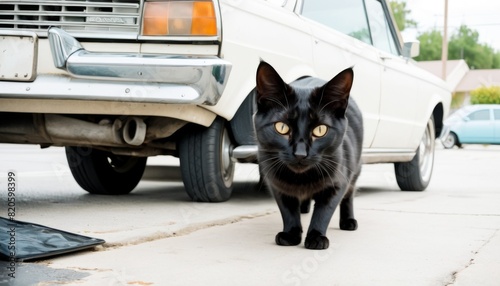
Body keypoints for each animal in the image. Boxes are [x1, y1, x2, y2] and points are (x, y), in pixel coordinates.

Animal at [256, 61, 362, 249]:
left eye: (320, 130)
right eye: (282, 127)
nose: (300, 153)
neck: (301, 180)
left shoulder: (337, 183)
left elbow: (323, 212)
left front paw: (316, 237)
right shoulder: (276, 184)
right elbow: (288, 209)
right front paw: (291, 234)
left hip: (355, 170)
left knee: (349, 195)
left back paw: (348, 221)